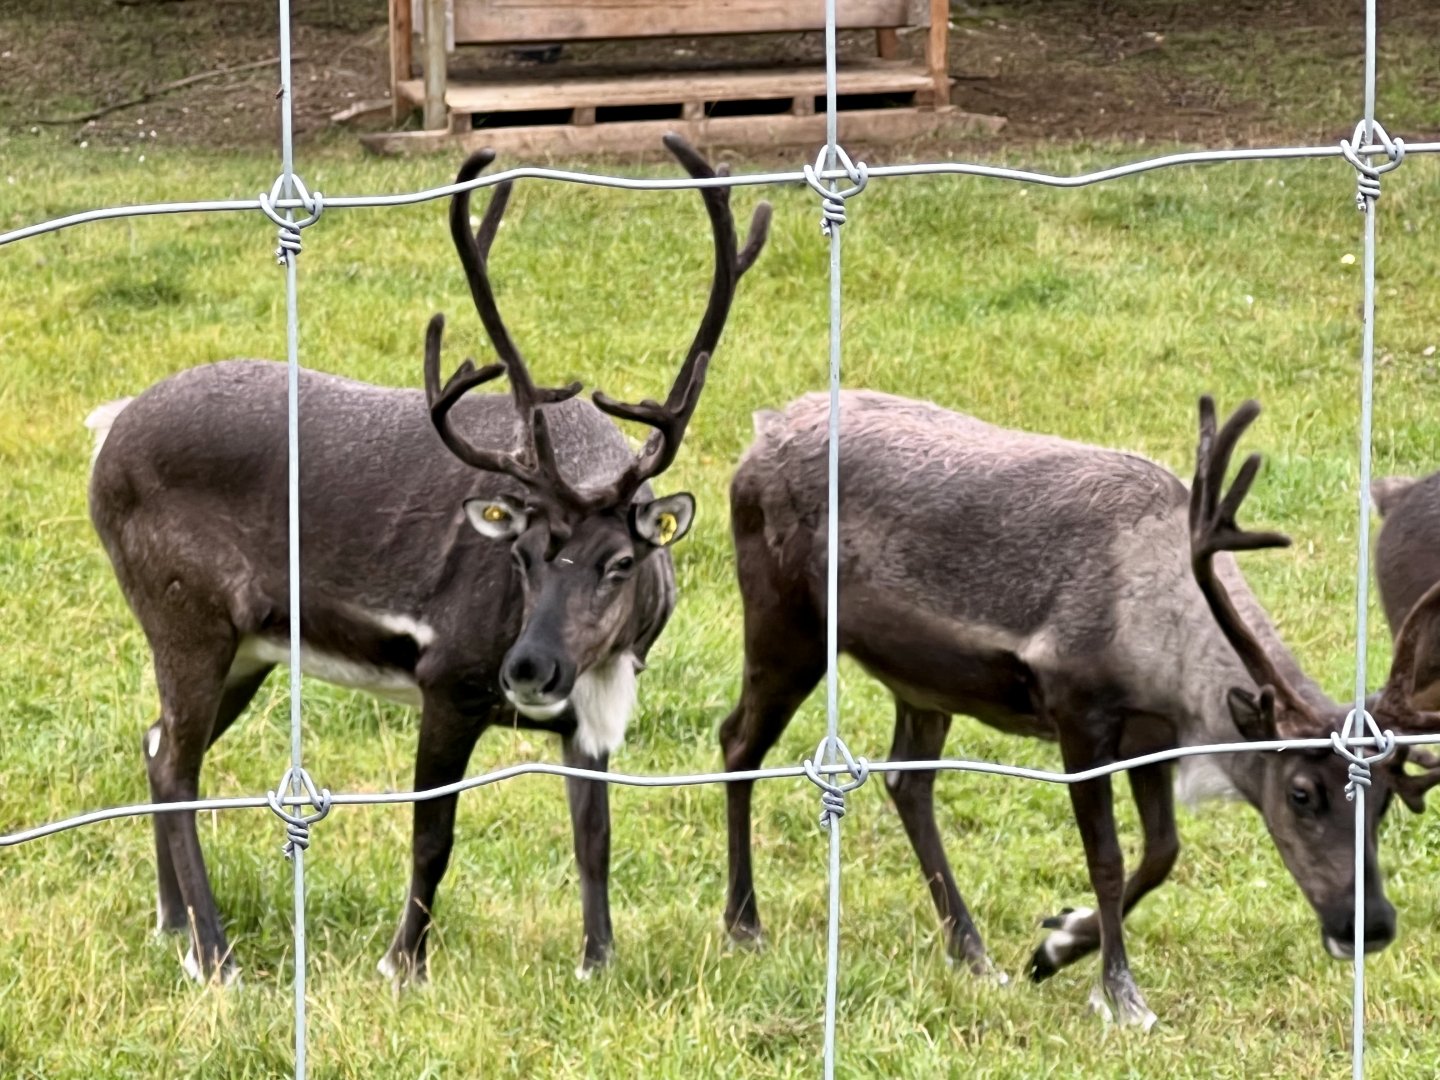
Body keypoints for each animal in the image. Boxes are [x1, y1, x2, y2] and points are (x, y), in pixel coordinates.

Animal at [84, 134, 771, 985]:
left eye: (619, 562)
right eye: (521, 554)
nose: (528, 669)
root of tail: (107, 432)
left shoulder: (586, 714)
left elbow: (595, 840)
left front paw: (598, 962)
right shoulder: (447, 681)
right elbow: (432, 838)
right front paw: (401, 964)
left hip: (247, 647)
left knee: (155, 746)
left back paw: (173, 922)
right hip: (185, 616)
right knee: (178, 768)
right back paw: (216, 955)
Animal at [718, 389, 1440, 1028]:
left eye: (1382, 800)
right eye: (1300, 793)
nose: (1371, 924)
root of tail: (761, 431)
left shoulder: (1149, 737)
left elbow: (1162, 852)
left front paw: (1057, 945)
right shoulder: (1079, 711)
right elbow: (1109, 861)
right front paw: (1121, 995)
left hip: (922, 681)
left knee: (905, 780)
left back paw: (973, 953)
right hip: (785, 620)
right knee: (738, 742)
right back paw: (745, 923)